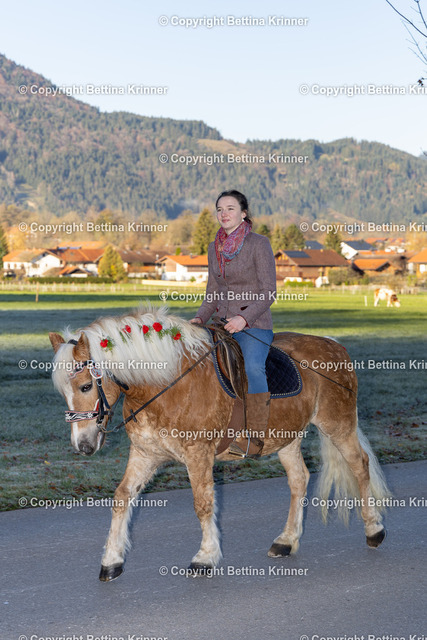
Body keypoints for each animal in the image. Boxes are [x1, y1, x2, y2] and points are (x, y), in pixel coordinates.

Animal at [49, 305, 390, 582]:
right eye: (64, 391)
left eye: (86, 385)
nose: (83, 445)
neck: (166, 383)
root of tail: (334, 345)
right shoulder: (146, 453)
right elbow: (122, 498)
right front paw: (112, 560)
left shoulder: (198, 453)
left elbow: (203, 504)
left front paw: (206, 556)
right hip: (287, 437)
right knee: (299, 479)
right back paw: (286, 540)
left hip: (338, 425)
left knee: (360, 465)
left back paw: (374, 529)